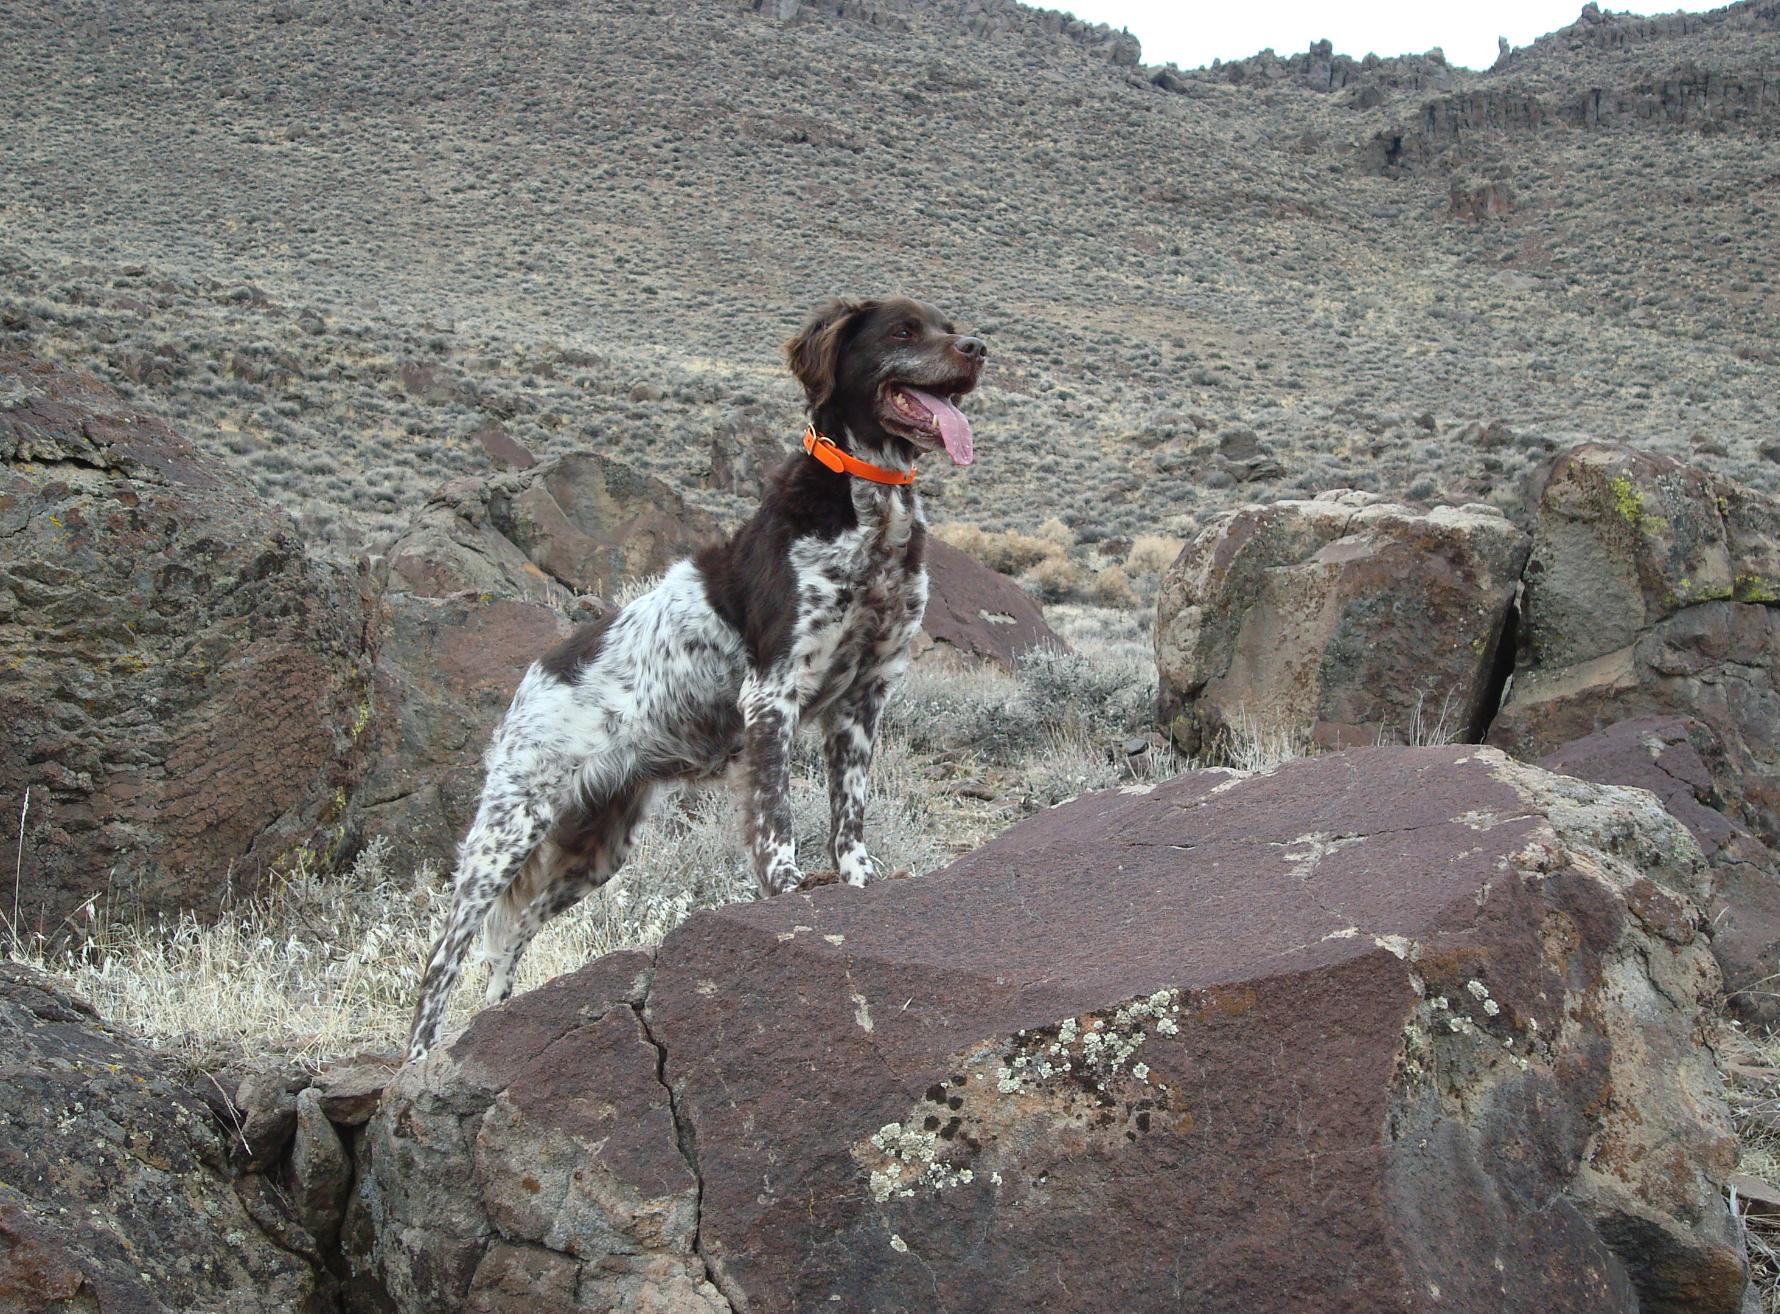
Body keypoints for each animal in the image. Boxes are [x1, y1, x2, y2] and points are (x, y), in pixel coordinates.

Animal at [405, 296, 986, 1059]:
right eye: (903, 331)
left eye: (948, 325)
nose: (978, 348)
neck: (873, 511)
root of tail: (534, 675)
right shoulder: (774, 693)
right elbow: (775, 819)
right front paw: (790, 891)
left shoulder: (864, 698)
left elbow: (848, 817)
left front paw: (859, 883)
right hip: (509, 831)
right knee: (444, 956)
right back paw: (420, 1056)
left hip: (594, 850)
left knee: (512, 938)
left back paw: (498, 1024)